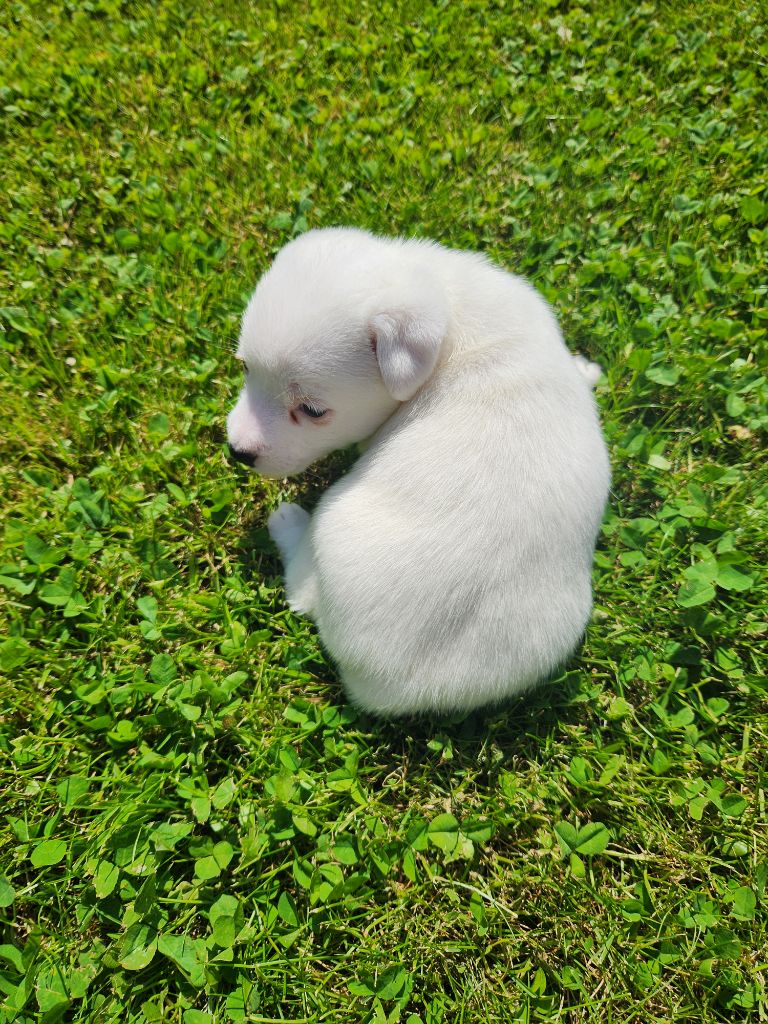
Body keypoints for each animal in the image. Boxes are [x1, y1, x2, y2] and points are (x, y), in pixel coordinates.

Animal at [227, 228, 610, 716]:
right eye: (244, 367)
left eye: (312, 411)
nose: (237, 451)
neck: (451, 310)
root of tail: (391, 686)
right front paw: (586, 370)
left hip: (330, 526)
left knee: (300, 589)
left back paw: (288, 522)